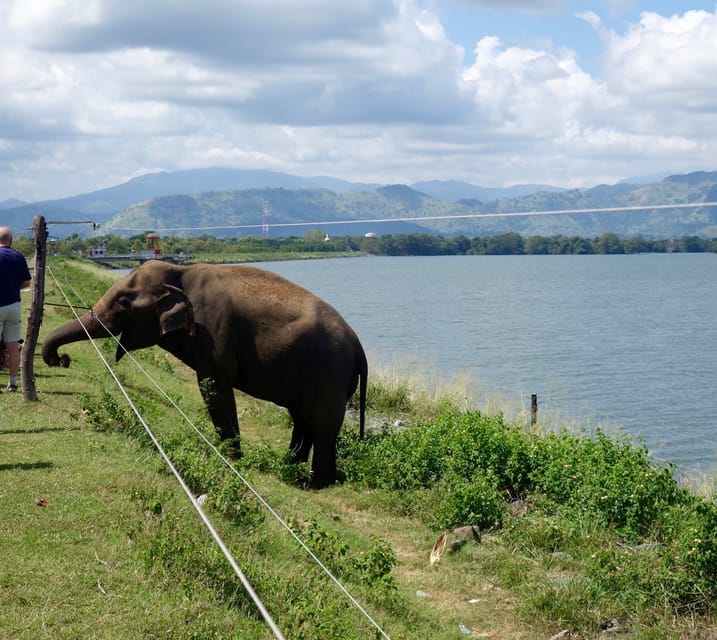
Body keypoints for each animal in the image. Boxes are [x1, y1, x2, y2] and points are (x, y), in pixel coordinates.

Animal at [43, 258, 370, 484]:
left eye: (124, 302)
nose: (63, 359)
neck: (180, 270)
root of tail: (359, 346)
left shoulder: (212, 331)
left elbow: (213, 385)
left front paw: (231, 459)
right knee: (302, 419)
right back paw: (288, 469)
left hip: (328, 372)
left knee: (322, 423)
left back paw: (314, 483)